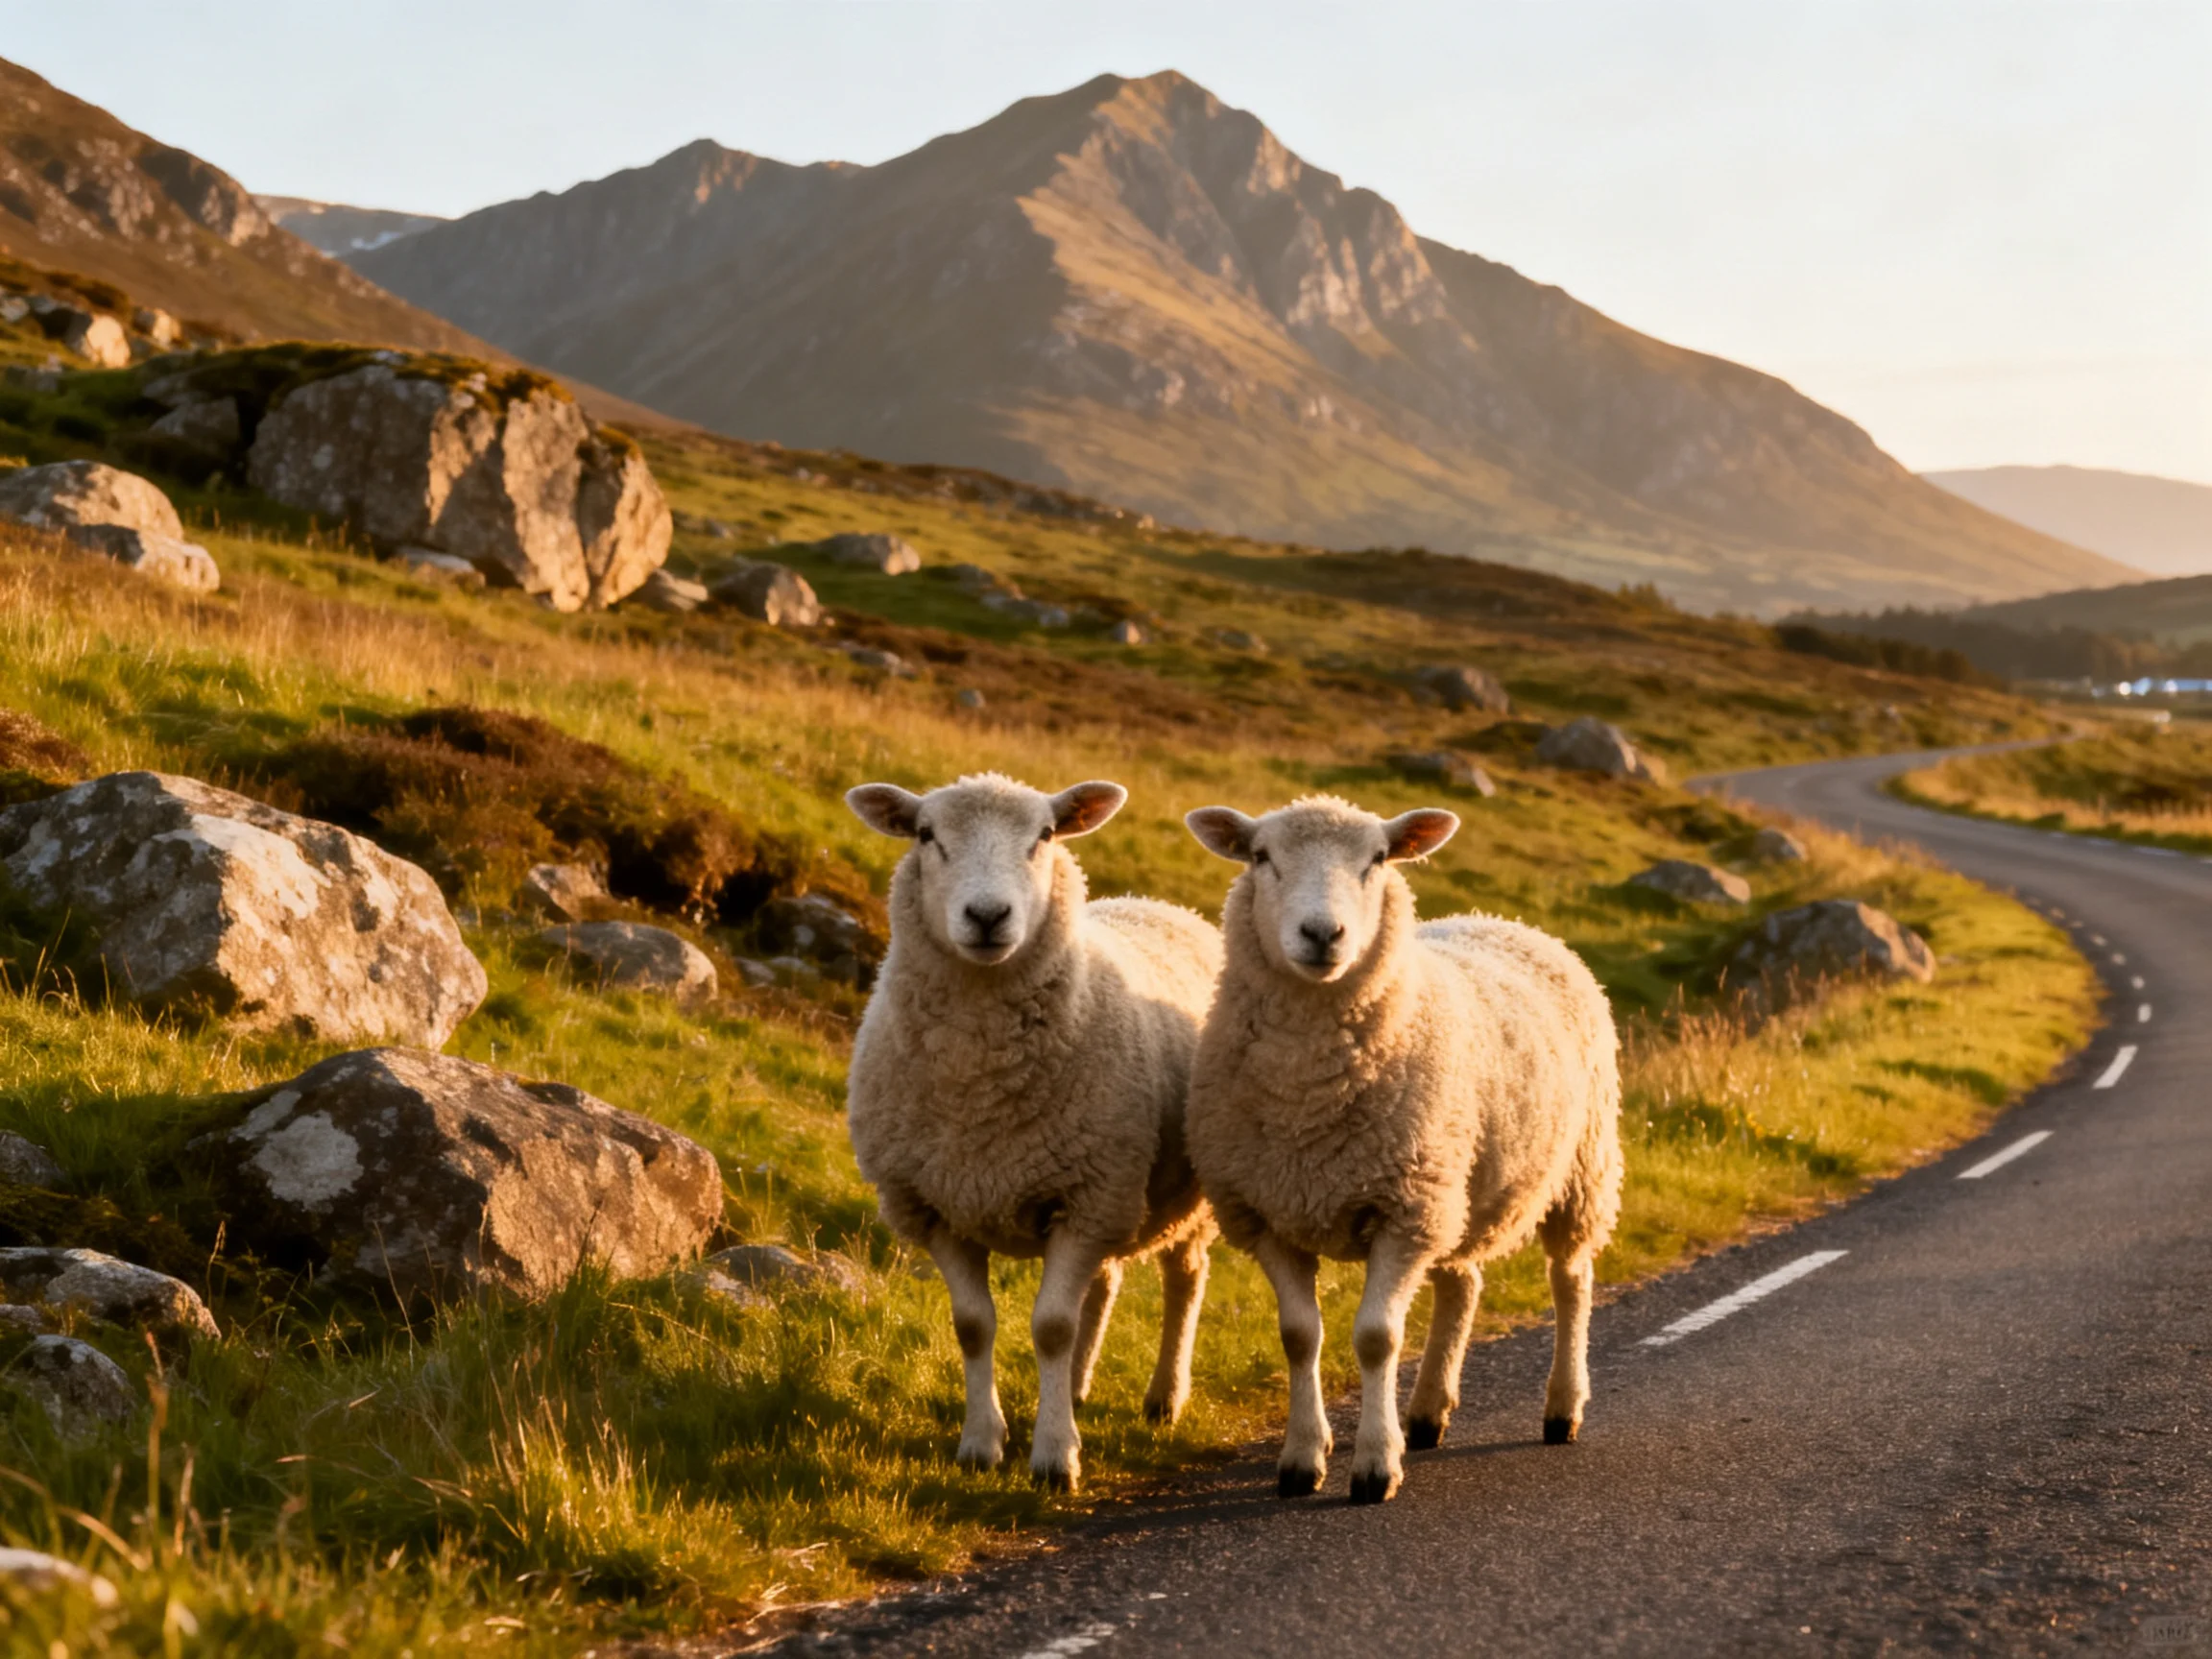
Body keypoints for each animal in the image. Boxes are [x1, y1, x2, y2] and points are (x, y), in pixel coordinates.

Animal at [844, 773, 1223, 1490]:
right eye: (926, 835)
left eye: (1044, 835)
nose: (988, 916)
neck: (980, 1088)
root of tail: (1160, 904)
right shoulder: (939, 1207)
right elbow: (973, 1326)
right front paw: (981, 1444)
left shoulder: (1085, 1198)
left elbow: (1050, 1327)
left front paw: (1053, 1457)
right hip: (1111, 1193)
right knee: (1102, 1286)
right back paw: (1073, 1389)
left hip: (1177, 1198)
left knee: (1185, 1278)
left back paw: (1165, 1397)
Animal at [1183, 794, 1622, 1505]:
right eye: (1261, 857)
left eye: (1379, 859)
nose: (1322, 934)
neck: (1307, 1095)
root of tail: (1503, 921)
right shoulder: (1271, 1214)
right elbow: (1299, 1337)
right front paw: (1302, 1459)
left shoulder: (1401, 1213)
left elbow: (1376, 1338)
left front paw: (1374, 1465)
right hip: (1453, 1183)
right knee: (1462, 1282)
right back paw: (1427, 1413)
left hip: (1579, 1171)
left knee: (1570, 1282)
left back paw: (1562, 1408)